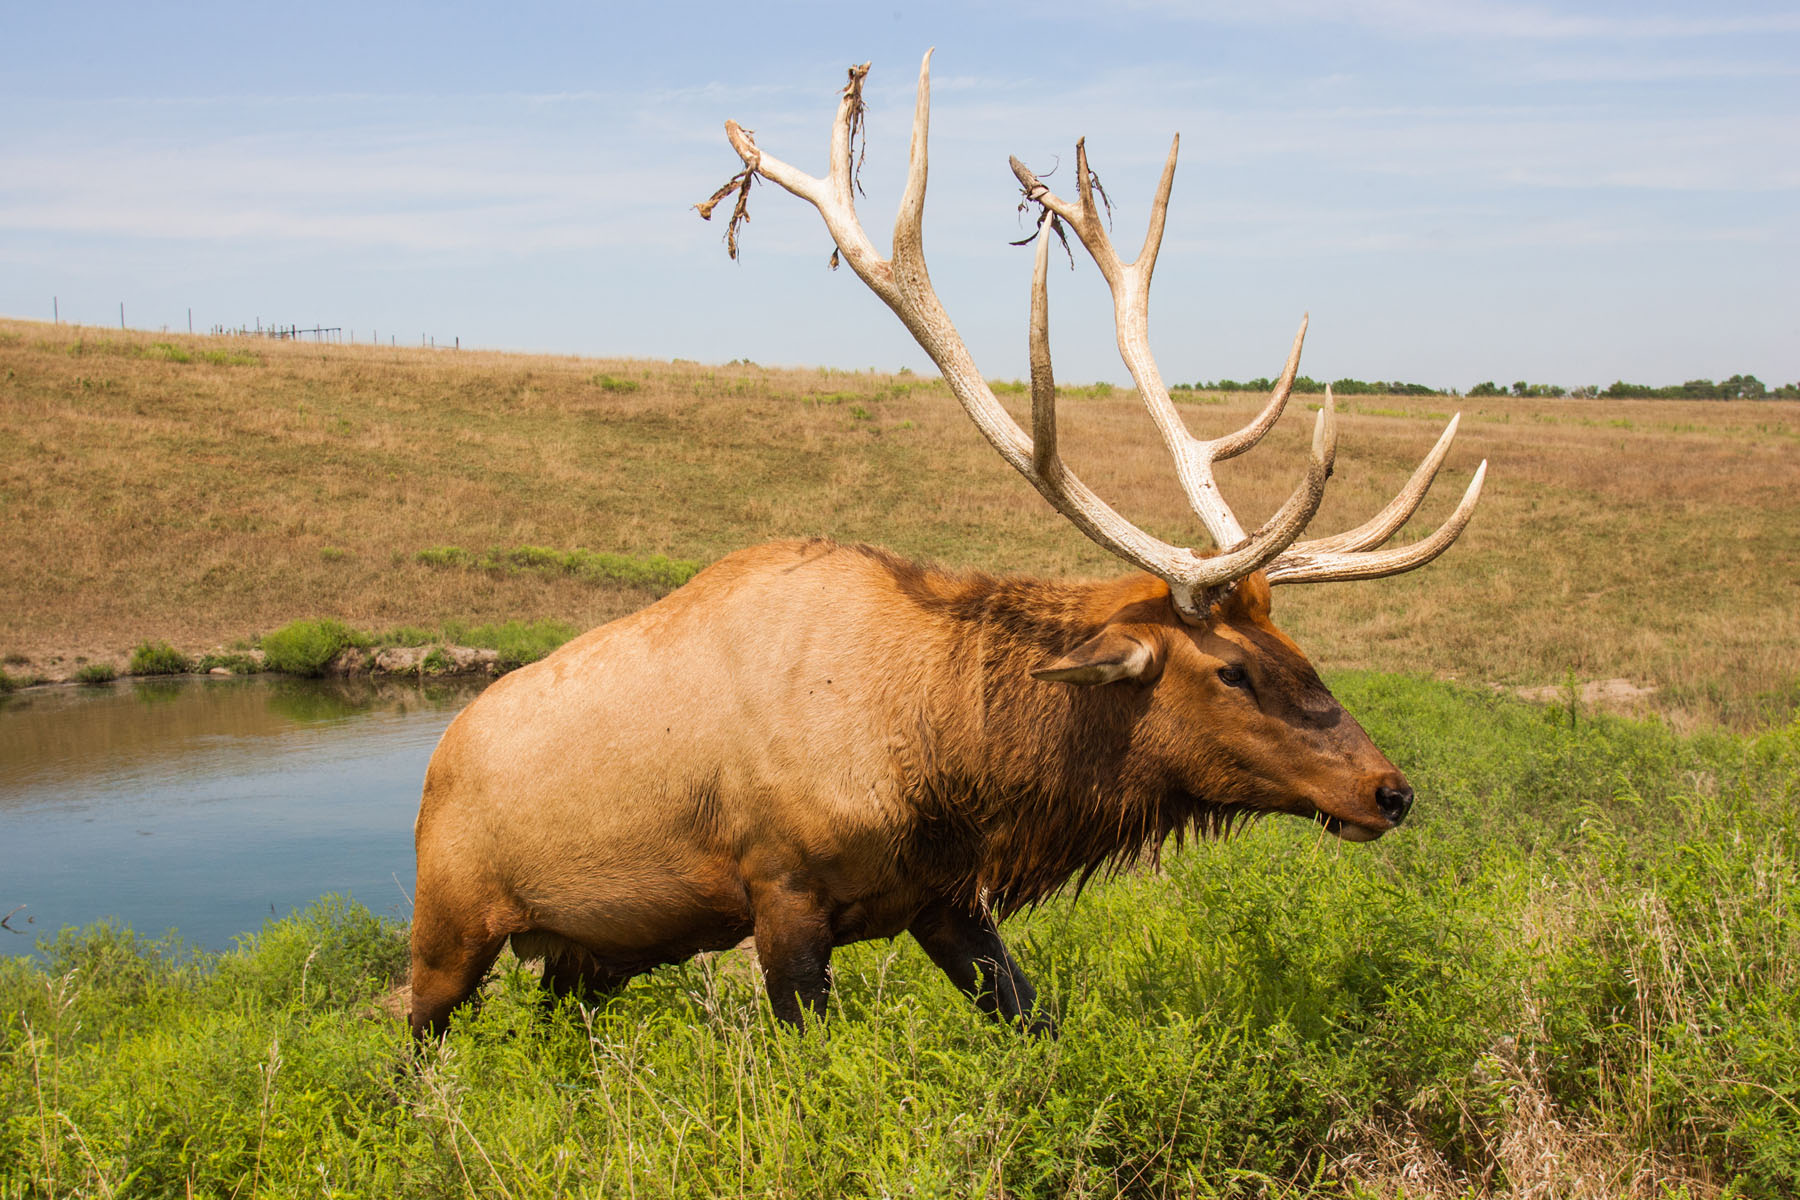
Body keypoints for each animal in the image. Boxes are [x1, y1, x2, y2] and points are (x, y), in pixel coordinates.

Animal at [406, 52, 1485, 1038]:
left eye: (1299, 651)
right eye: (1231, 671)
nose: (1389, 791)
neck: (943, 755)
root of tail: (439, 755)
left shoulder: (944, 897)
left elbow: (1031, 1021)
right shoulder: (781, 887)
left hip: (589, 952)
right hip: (448, 922)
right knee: (416, 1034)